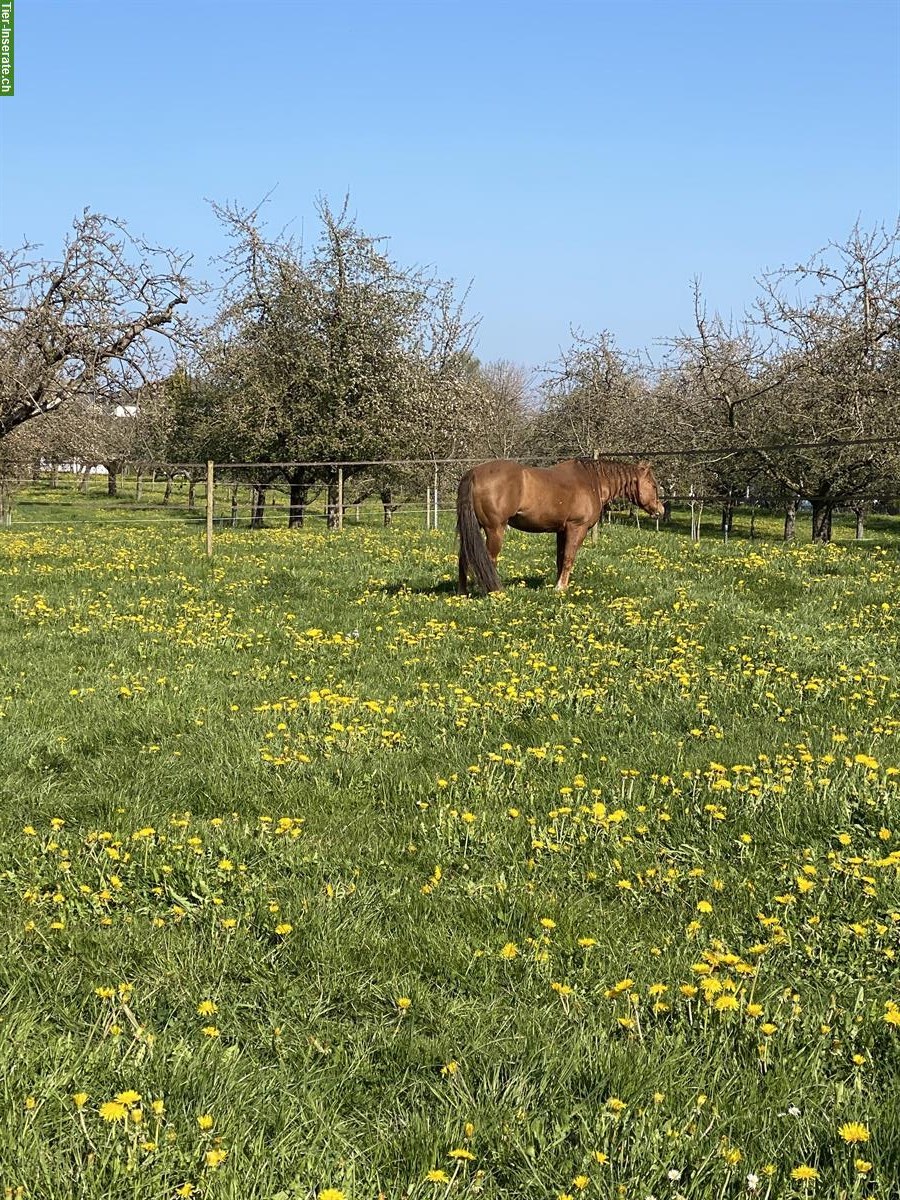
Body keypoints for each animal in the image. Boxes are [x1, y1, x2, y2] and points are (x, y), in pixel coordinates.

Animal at [458, 456, 662, 592]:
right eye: (653, 485)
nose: (660, 510)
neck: (592, 481)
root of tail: (473, 473)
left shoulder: (561, 531)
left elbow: (560, 558)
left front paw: (557, 584)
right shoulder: (577, 528)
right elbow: (569, 557)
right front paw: (561, 588)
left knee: (465, 558)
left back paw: (463, 592)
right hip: (495, 529)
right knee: (488, 559)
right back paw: (494, 590)